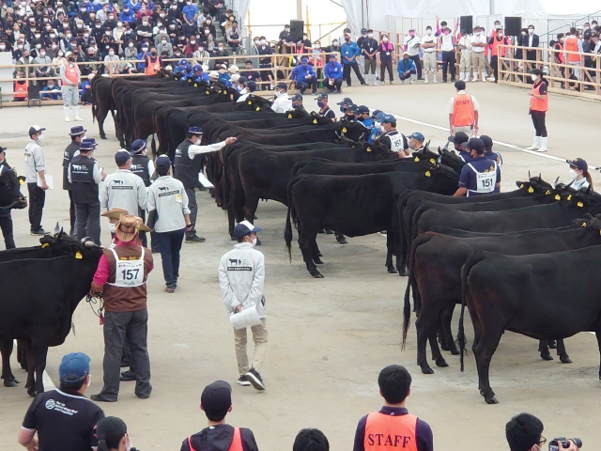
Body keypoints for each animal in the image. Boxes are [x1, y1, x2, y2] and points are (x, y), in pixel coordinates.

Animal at [458, 242, 600, 404]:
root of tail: (487, 255)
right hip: (493, 323)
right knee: (483, 351)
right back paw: (489, 394)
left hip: (478, 320)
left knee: (475, 347)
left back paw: (481, 389)